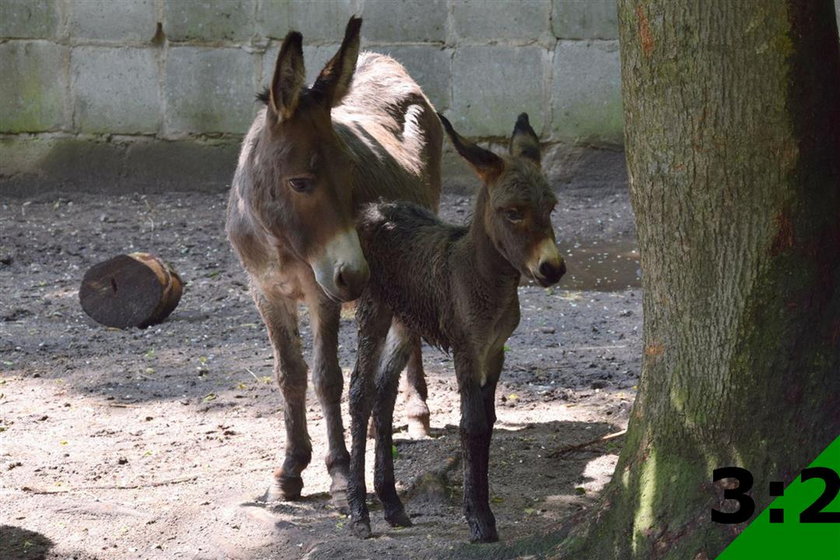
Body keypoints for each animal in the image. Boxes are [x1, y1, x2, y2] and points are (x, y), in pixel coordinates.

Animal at [348, 112, 564, 544]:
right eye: (512, 212)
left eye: (551, 206)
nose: (553, 268)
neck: (486, 280)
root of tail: (377, 208)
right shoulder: (467, 348)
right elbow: (472, 425)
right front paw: (479, 519)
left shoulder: (495, 351)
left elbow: (489, 422)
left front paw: (480, 512)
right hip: (374, 309)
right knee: (361, 392)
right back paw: (359, 512)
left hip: (406, 321)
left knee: (384, 391)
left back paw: (392, 505)